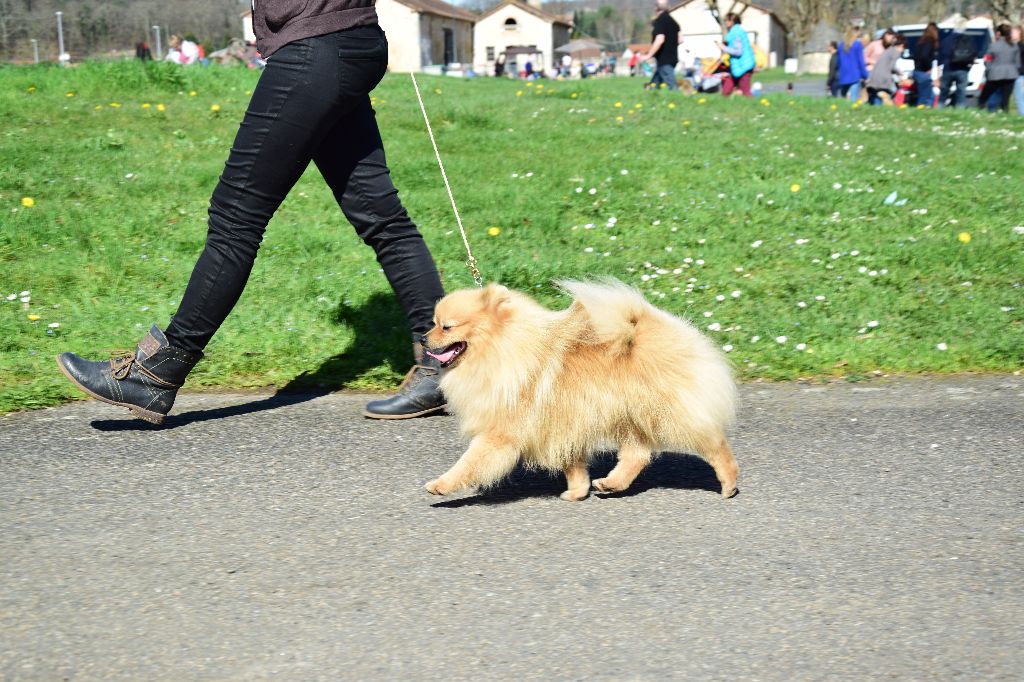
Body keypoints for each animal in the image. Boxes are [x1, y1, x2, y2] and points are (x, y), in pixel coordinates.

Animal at [421, 278, 737, 499]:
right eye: (433, 323)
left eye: (446, 327)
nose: (423, 338)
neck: (502, 348)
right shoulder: (563, 423)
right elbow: (572, 463)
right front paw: (577, 491)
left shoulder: (500, 431)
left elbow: (469, 461)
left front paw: (441, 484)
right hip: (628, 415)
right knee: (637, 454)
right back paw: (612, 483)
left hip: (667, 413)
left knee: (714, 444)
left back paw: (729, 483)